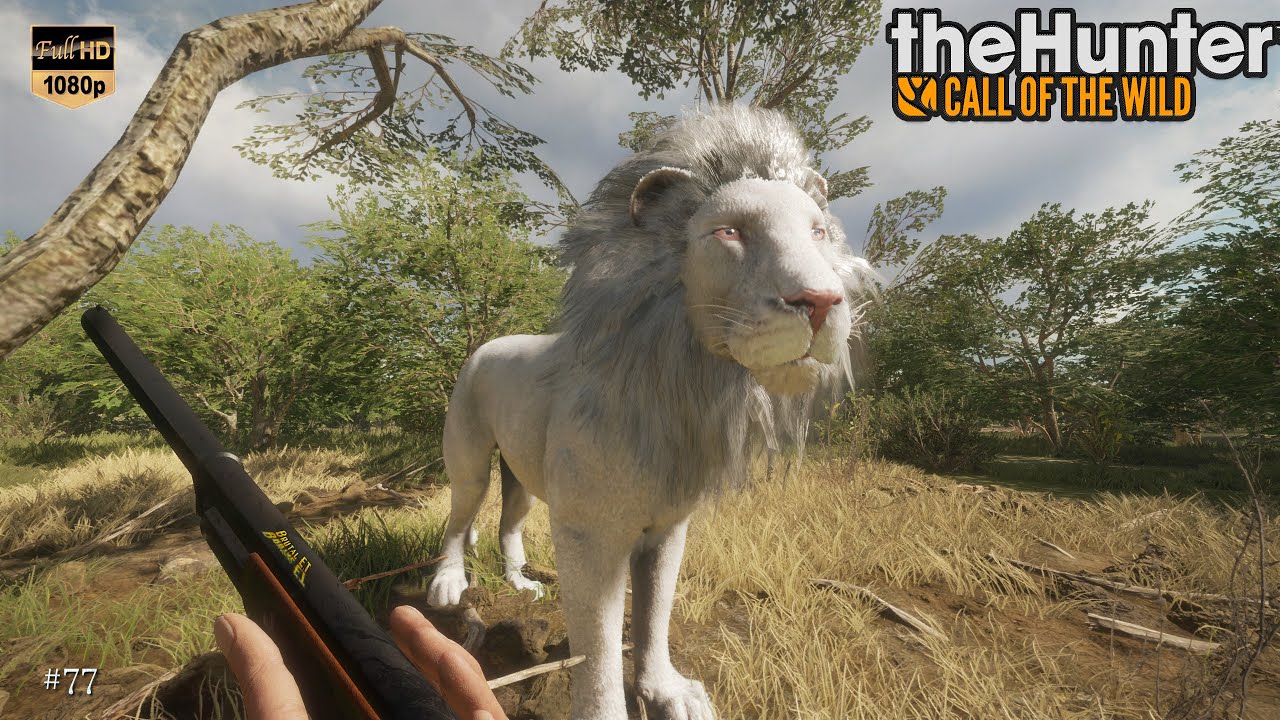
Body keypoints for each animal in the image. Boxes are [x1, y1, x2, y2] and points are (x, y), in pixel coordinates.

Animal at [426, 105, 869, 720]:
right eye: (729, 231)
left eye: (818, 232)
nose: (824, 301)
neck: (676, 386)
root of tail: (489, 344)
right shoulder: (588, 534)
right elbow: (598, 647)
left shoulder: (667, 528)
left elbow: (655, 615)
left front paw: (668, 692)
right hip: (468, 456)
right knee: (459, 516)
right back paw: (447, 586)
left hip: (522, 472)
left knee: (508, 522)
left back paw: (521, 585)